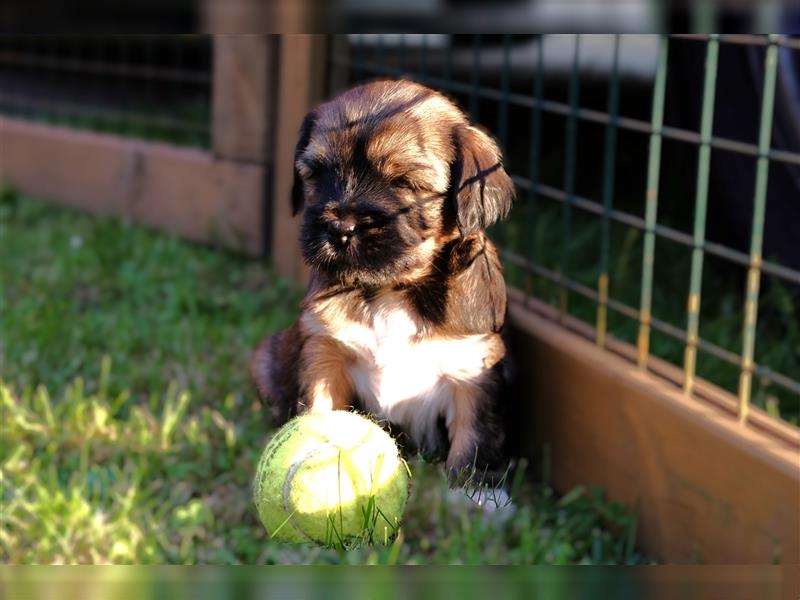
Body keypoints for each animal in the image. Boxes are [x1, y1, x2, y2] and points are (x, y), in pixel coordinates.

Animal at [252, 78, 520, 482]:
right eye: (318, 173)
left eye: (405, 182)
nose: (340, 228)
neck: (390, 290)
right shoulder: (323, 352)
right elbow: (318, 410)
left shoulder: (472, 371)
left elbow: (473, 441)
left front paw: (472, 491)